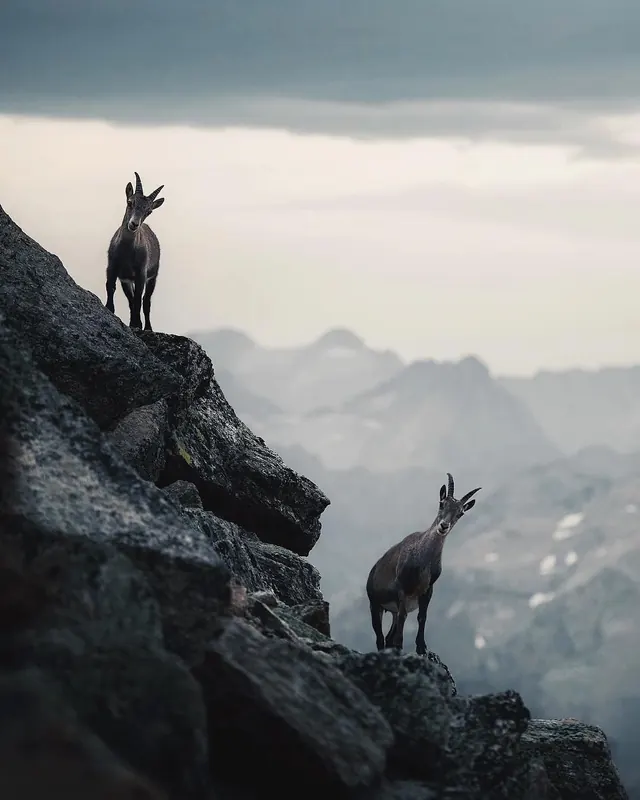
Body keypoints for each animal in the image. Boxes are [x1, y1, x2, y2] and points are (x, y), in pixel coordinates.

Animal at [105, 172, 165, 331]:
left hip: (153, 276)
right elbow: (110, 287)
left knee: (146, 301)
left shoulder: (141, 273)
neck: (127, 251)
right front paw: (109, 309)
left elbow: (139, 298)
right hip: (127, 280)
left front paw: (137, 324)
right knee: (131, 300)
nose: (134, 224)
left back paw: (148, 327)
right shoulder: (114, 268)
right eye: (130, 202)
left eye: (149, 211)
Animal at [366, 473, 480, 655]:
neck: (423, 559)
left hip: (392, 609)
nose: (444, 526)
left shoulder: (427, 590)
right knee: (380, 637)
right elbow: (404, 617)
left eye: (460, 513)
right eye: (442, 503)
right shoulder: (402, 589)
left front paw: (421, 647)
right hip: (375, 604)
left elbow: (422, 617)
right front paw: (401, 645)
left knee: (388, 636)